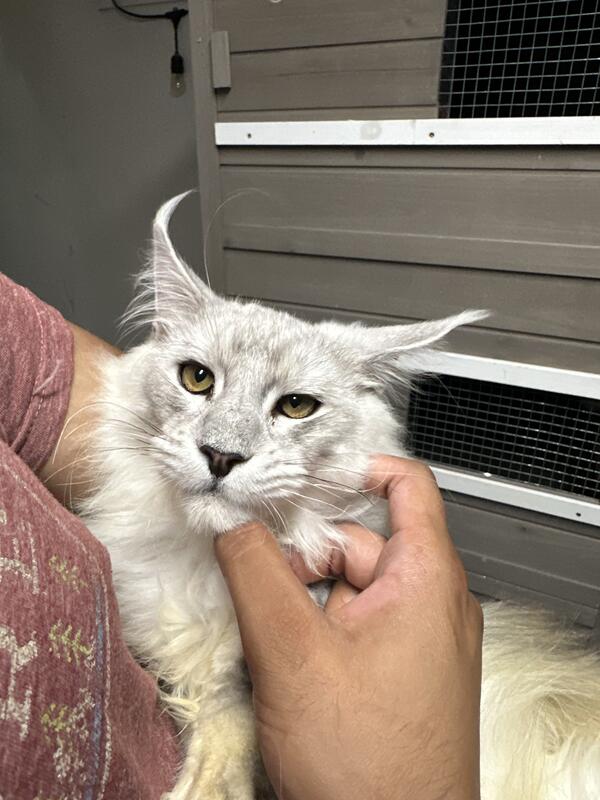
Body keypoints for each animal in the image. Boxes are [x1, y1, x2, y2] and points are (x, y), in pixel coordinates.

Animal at [80, 192, 600, 800]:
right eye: (197, 378)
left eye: (296, 407)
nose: (221, 456)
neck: (202, 561)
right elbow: (217, 710)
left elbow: (235, 717)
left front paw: (209, 786)